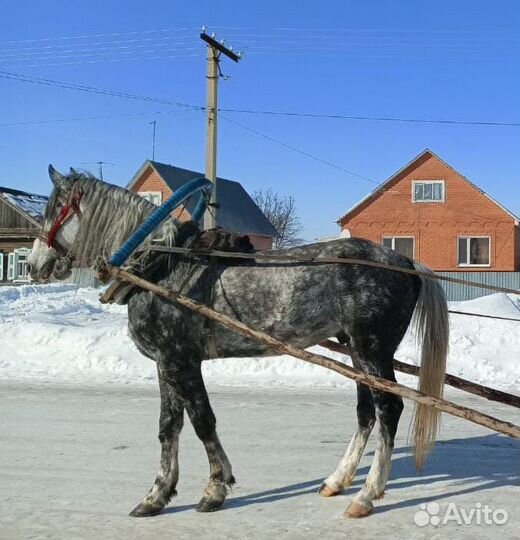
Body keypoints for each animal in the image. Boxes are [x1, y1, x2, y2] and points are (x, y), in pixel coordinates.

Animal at [29, 166, 450, 520]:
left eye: (53, 209)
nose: (33, 265)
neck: (158, 268)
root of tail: (405, 262)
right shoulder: (166, 362)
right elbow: (169, 426)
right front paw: (157, 495)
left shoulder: (182, 360)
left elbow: (202, 421)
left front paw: (215, 488)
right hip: (358, 352)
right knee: (366, 412)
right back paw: (338, 480)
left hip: (372, 348)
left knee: (389, 408)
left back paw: (367, 493)